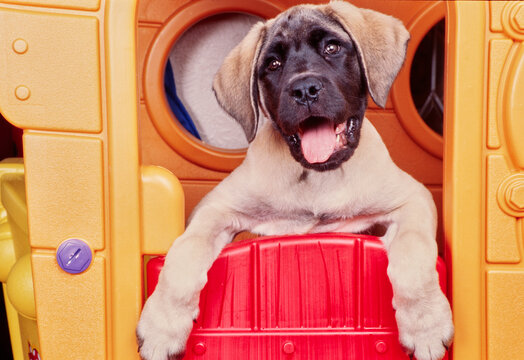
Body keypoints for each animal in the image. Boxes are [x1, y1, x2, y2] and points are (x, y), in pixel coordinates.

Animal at [137, 1, 452, 358]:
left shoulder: (413, 198)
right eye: (273, 64)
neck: (316, 177)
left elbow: (414, 251)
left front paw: (426, 324)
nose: (304, 90)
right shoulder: (214, 208)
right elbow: (185, 253)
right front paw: (161, 327)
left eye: (332, 48)